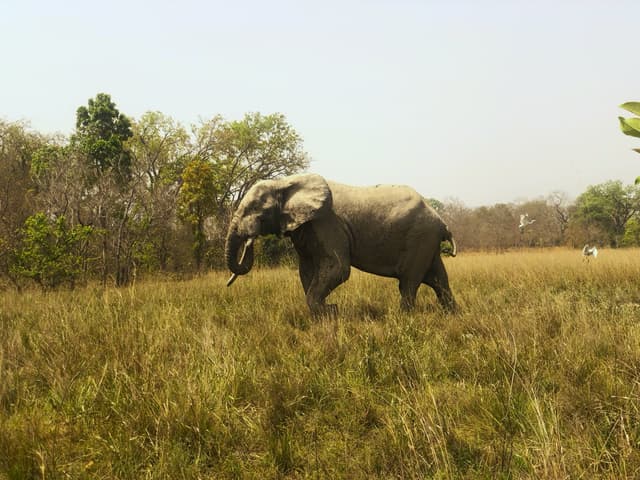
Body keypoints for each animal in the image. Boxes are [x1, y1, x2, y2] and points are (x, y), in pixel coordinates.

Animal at [225, 173, 457, 316]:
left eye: (256, 210)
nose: (249, 239)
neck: (285, 183)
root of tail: (442, 222)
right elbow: (307, 270)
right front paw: (325, 315)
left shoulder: (327, 223)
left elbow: (338, 268)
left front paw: (331, 311)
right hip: (427, 242)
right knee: (439, 281)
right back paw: (453, 315)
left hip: (420, 238)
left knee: (408, 283)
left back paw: (403, 320)